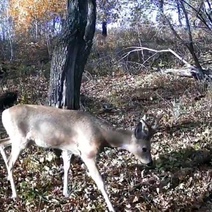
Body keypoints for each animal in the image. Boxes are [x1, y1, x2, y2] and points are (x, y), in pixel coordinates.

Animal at [0, 105, 162, 212]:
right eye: (144, 148)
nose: (150, 163)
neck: (102, 135)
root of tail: (4, 113)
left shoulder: (68, 149)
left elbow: (66, 167)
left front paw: (66, 192)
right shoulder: (87, 154)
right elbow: (100, 182)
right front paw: (112, 208)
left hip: (20, 140)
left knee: (1, 143)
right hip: (20, 140)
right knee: (10, 162)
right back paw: (14, 194)